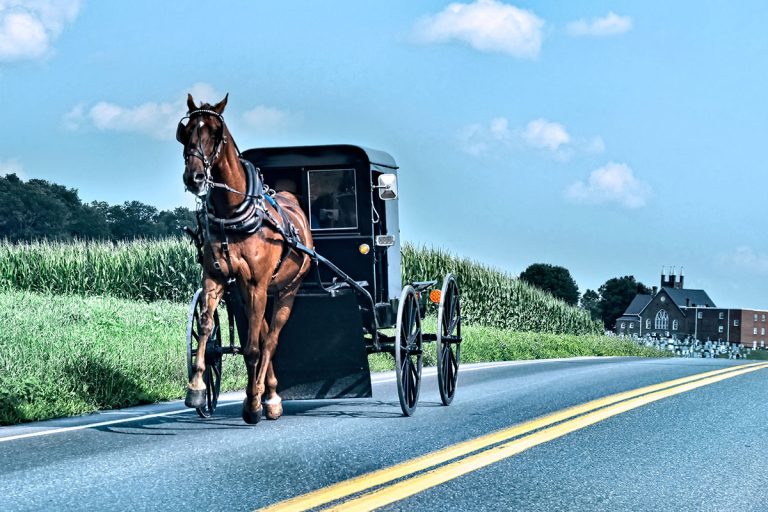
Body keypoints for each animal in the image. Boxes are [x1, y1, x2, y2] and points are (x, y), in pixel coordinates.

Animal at [177, 93, 313, 424]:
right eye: (186, 132)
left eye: (216, 133)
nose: (194, 177)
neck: (232, 214)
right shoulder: (216, 277)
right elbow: (205, 326)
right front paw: (197, 387)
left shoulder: (255, 284)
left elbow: (253, 349)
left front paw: (251, 403)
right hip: (253, 293)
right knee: (263, 336)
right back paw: (271, 394)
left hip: (285, 290)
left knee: (271, 339)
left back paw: (266, 399)